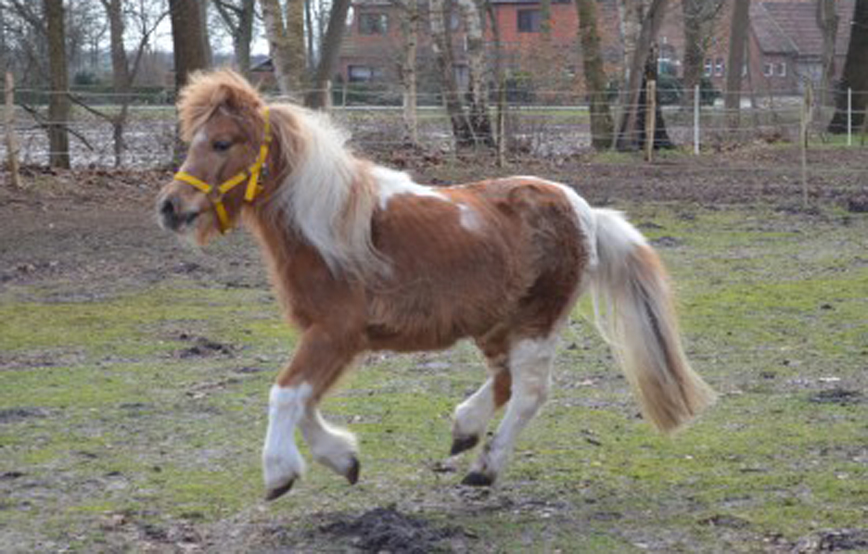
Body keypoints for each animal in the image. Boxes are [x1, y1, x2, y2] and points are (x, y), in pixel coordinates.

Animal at [156, 70, 716, 501]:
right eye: (194, 141)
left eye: (222, 143)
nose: (170, 207)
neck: (330, 226)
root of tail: (585, 213)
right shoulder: (337, 338)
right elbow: (307, 400)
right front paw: (344, 459)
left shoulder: (334, 333)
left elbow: (286, 394)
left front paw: (278, 474)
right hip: (496, 324)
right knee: (504, 379)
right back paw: (465, 429)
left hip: (537, 321)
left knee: (529, 391)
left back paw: (484, 467)